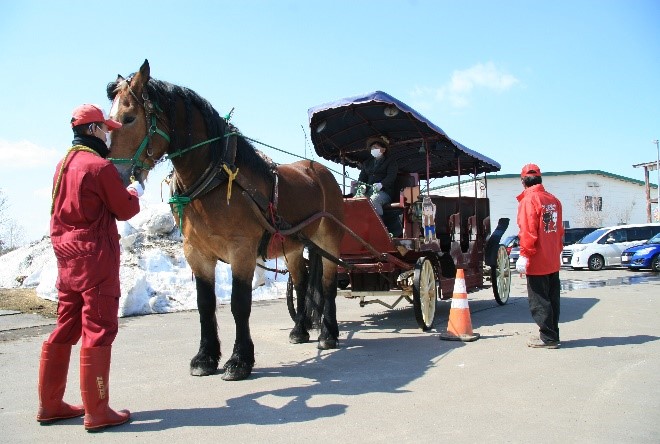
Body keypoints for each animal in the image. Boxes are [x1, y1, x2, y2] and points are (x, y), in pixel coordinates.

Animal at [105, 59, 342, 380]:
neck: (214, 177)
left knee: (328, 285)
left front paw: (240, 360)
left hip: (328, 241)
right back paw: (300, 330)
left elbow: (240, 305)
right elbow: (206, 305)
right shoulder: (196, 252)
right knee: (302, 283)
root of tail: (321, 172)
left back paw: (328, 334)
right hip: (293, 246)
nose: (113, 174)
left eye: (129, 118)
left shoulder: (241, 250)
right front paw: (205, 357)